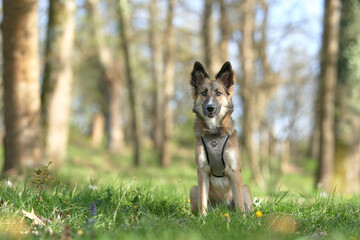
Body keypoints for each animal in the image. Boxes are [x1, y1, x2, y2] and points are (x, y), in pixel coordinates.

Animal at [188, 61, 253, 215]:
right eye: (203, 93)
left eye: (218, 93)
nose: (210, 108)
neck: (214, 133)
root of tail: (223, 207)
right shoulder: (202, 171)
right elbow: (202, 201)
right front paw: (202, 218)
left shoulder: (234, 172)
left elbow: (240, 204)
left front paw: (242, 219)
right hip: (193, 189)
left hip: (245, 189)